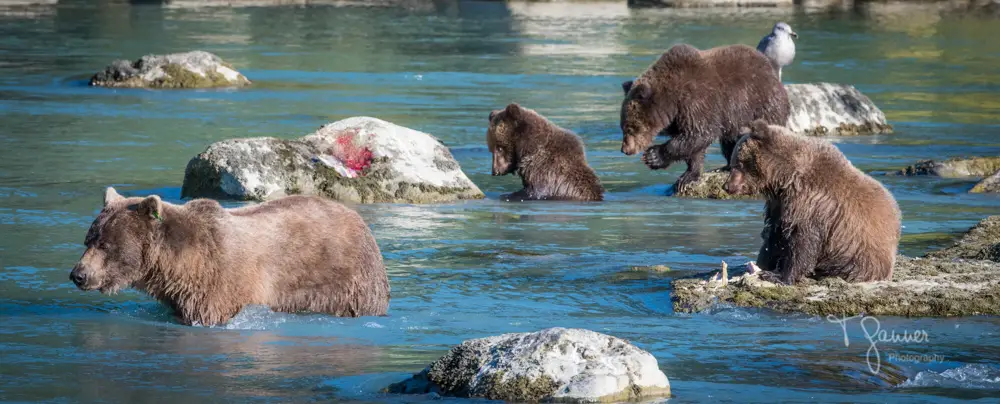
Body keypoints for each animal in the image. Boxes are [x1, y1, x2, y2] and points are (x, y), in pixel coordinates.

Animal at [69, 188, 390, 326]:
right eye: (88, 239)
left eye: (106, 245)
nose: (78, 275)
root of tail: (359, 220)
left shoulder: (217, 285)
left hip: (348, 282)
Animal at [616, 42, 788, 193]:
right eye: (623, 126)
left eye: (630, 127)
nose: (625, 149)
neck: (672, 102)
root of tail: (772, 73)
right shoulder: (680, 118)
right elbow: (694, 145)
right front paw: (687, 176)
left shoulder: (696, 102)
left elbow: (698, 134)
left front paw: (653, 156)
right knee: (730, 140)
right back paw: (727, 165)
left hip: (759, 104)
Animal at [724, 120, 904, 284]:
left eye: (737, 164)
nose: (727, 186)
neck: (784, 178)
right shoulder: (780, 204)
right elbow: (775, 233)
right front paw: (764, 264)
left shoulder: (810, 204)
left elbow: (803, 242)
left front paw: (779, 276)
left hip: (858, 253)